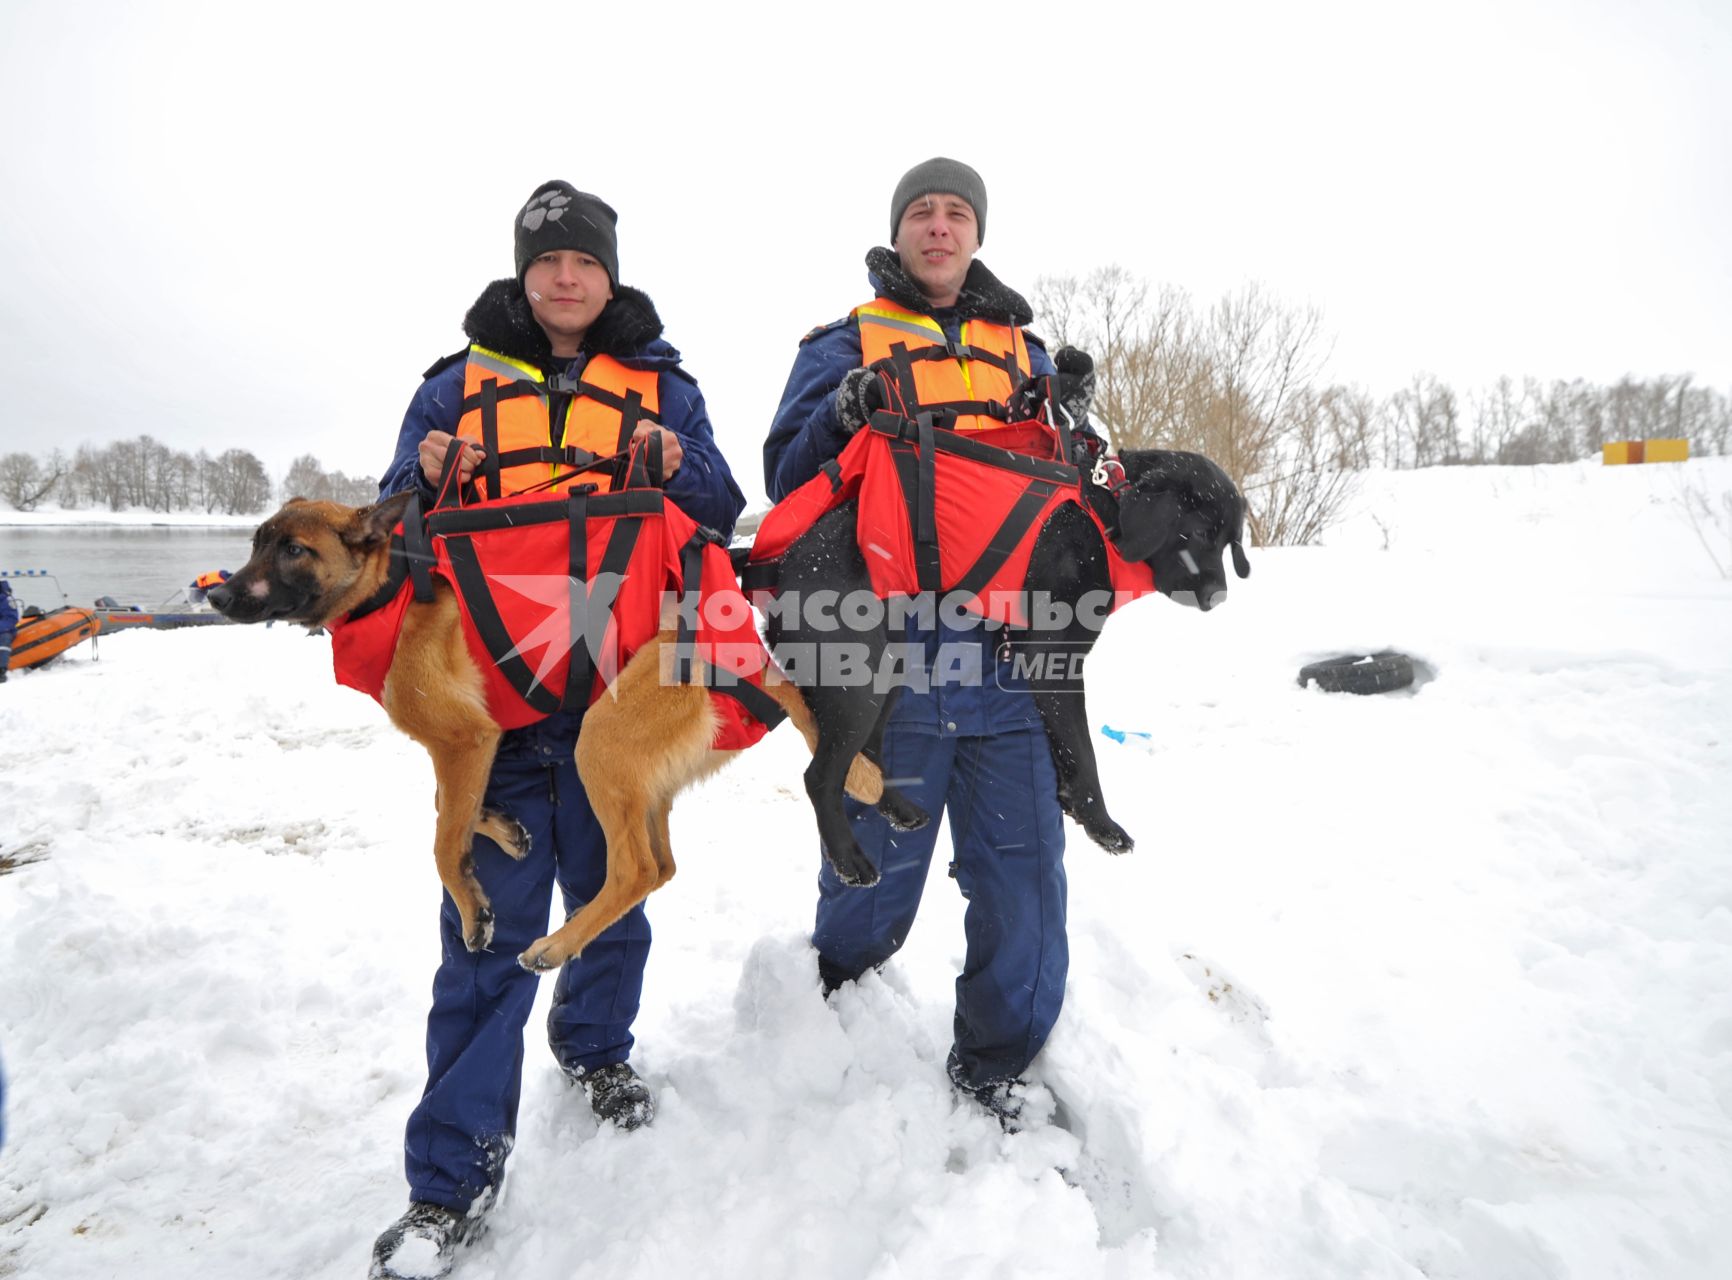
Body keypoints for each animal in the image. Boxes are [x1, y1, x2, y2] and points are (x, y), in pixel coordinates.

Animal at [202, 495, 907, 976]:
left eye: (294, 549)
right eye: (257, 542)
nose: (218, 598)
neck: (390, 590)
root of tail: (750, 660)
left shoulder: (465, 739)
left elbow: (442, 841)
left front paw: (473, 908)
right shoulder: (464, 750)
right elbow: (446, 807)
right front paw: (498, 826)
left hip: (601, 742)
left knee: (635, 869)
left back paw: (556, 944)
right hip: (639, 775)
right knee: (661, 866)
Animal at [769, 446, 1247, 866]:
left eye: (1231, 542)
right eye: (1199, 533)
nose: (1219, 596)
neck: (1102, 517)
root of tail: (779, 572)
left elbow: (1068, 749)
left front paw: (1073, 803)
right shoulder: (1054, 661)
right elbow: (1085, 751)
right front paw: (1102, 825)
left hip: (889, 670)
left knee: (866, 760)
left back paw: (899, 809)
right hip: (860, 686)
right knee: (821, 778)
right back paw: (849, 860)